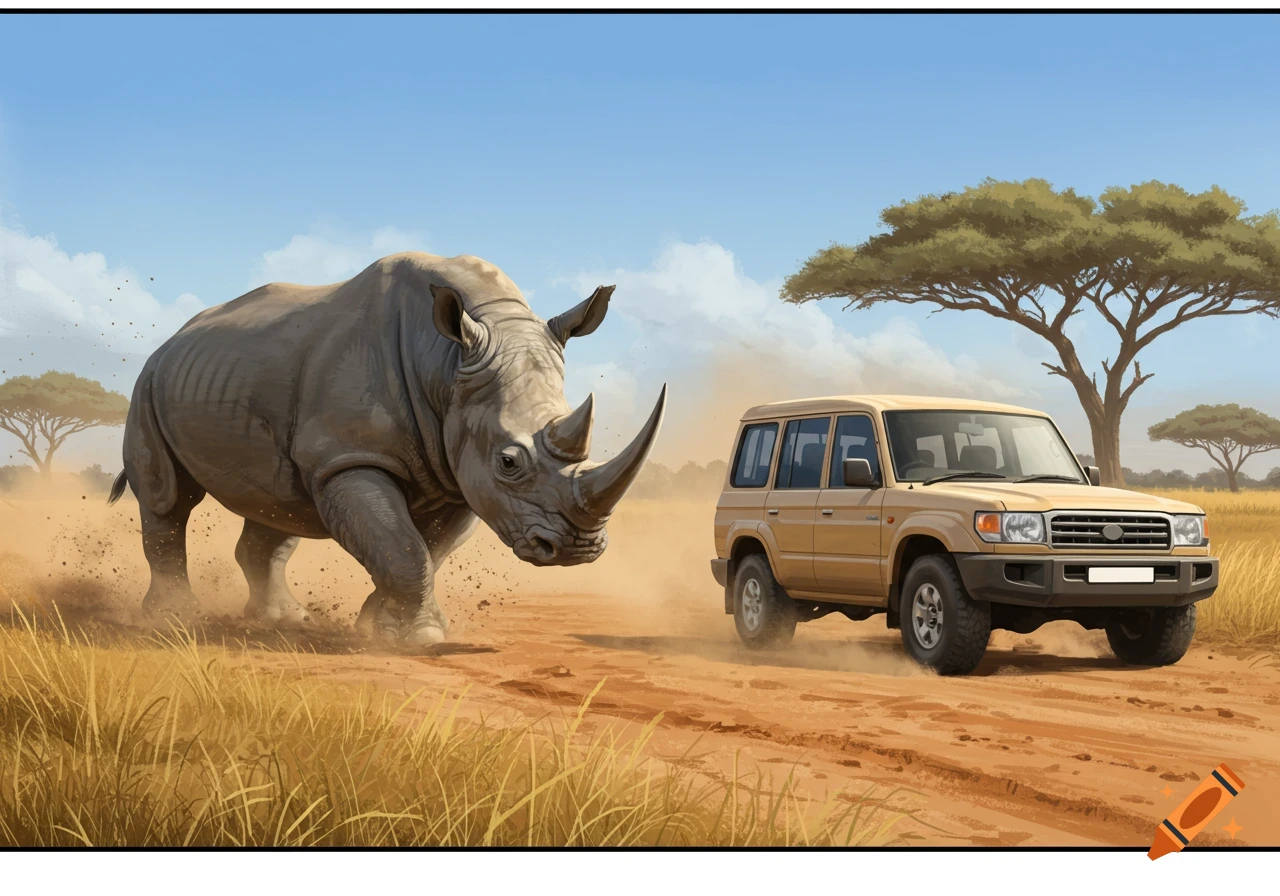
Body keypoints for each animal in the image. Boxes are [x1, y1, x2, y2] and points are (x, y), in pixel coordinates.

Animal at [108, 252, 665, 645]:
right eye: (508, 462)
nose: (577, 549)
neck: (447, 361)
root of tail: (173, 339)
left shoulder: (459, 472)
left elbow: (423, 552)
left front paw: (380, 626)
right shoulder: (350, 456)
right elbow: (403, 548)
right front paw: (421, 638)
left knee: (278, 506)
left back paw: (284, 618)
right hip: (148, 382)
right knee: (168, 498)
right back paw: (174, 619)